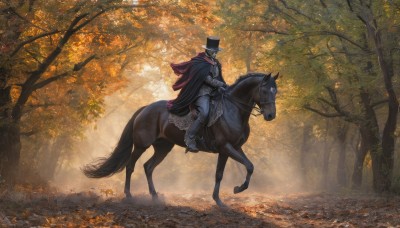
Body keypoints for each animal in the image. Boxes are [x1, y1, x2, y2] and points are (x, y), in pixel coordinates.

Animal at [83, 72, 278, 208]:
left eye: (276, 91)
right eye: (264, 90)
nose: (270, 115)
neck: (233, 110)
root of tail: (145, 108)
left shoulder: (233, 148)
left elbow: (232, 171)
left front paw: (222, 198)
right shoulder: (226, 147)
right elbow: (245, 167)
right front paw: (235, 190)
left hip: (163, 147)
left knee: (148, 167)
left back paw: (155, 196)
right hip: (141, 145)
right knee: (131, 166)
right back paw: (129, 195)